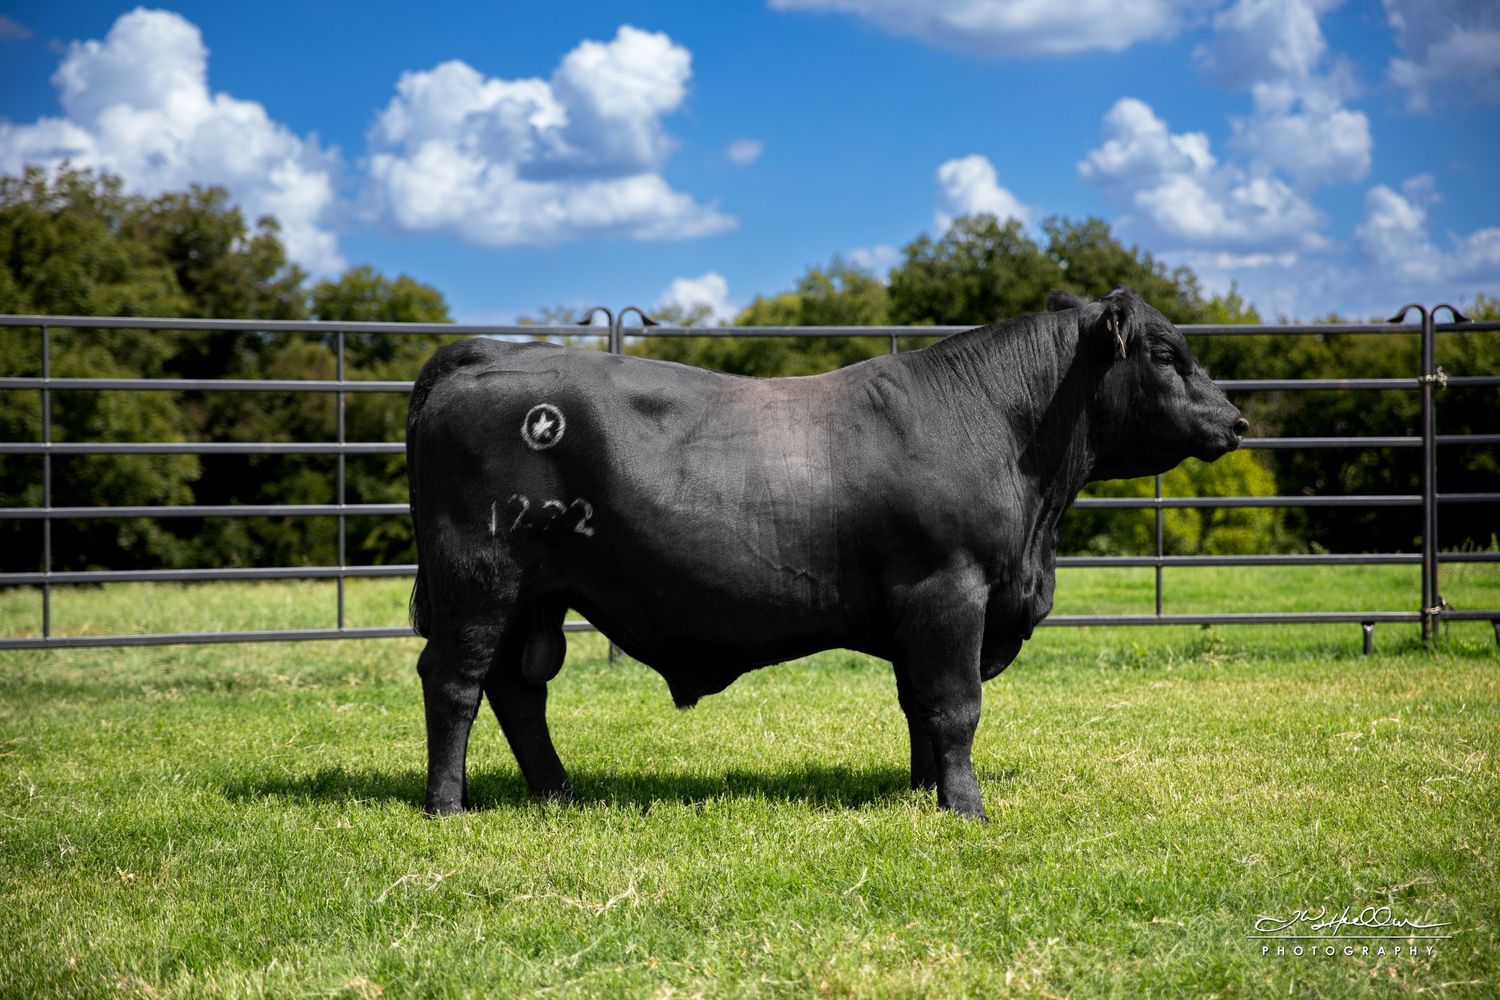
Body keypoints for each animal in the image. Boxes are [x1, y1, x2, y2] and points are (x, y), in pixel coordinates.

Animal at [404, 286, 1247, 819]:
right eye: (1166, 352)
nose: (1236, 420)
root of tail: (483, 352)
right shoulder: (952, 591)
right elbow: (955, 706)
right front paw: (966, 809)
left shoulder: (920, 613)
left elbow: (917, 705)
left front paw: (922, 794)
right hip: (480, 578)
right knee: (454, 682)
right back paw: (448, 808)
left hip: (533, 595)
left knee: (518, 690)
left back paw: (559, 793)